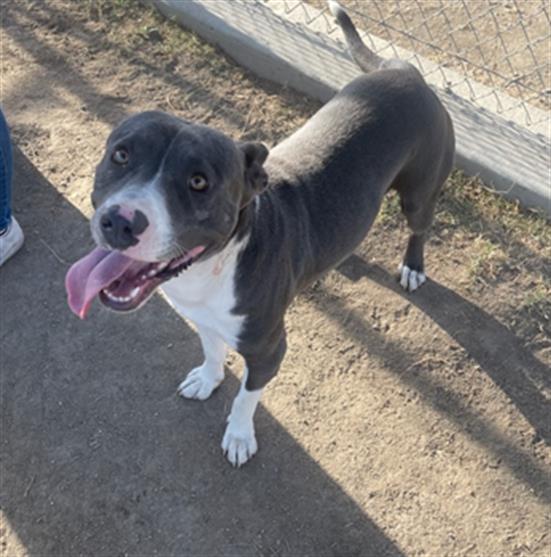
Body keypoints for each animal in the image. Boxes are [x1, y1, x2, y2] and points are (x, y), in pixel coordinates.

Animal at [64, 3, 454, 464]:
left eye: (199, 182)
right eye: (121, 155)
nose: (121, 221)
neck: (213, 269)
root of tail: (404, 70)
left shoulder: (270, 350)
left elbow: (246, 396)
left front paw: (238, 435)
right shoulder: (202, 319)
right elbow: (212, 351)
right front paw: (207, 378)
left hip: (420, 192)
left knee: (420, 227)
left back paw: (413, 266)